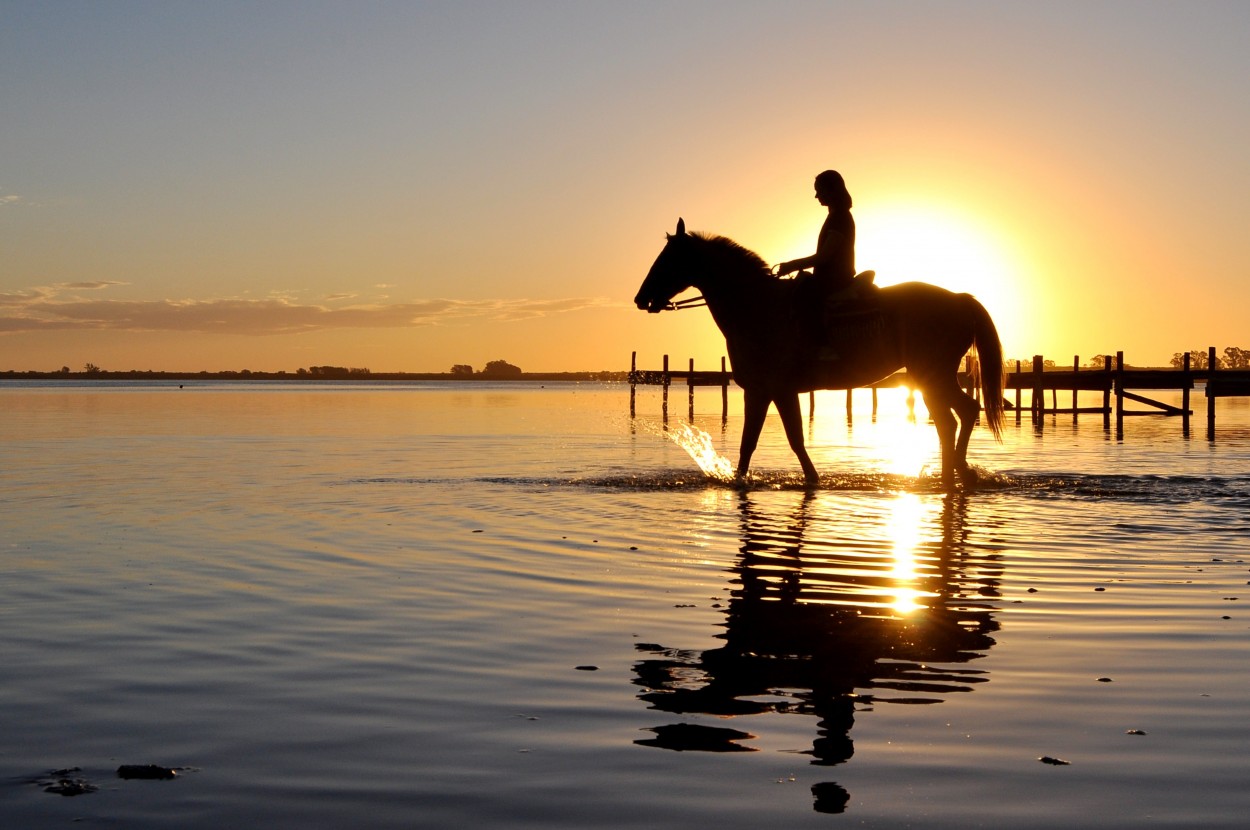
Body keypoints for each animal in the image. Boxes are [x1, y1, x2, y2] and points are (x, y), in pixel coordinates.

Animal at [635, 220, 1005, 490]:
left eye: (668, 259)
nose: (641, 299)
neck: (759, 308)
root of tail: (960, 299)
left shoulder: (778, 390)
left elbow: (795, 440)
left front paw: (812, 480)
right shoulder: (759, 392)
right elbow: (747, 444)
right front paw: (741, 481)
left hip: (932, 377)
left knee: (949, 421)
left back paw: (951, 477)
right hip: (938, 377)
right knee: (965, 412)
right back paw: (960, 473)